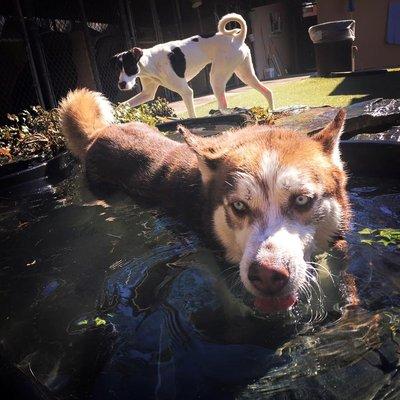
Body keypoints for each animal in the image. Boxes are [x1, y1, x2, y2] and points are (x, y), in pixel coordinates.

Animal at [114, 13, 274, 117]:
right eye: (118, 70)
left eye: (129, 68)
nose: (121, 85)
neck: (150, 62)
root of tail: (238, 38)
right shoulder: (147, 94)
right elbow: (123, 104)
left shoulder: (186, 92)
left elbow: (191, 116)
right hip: (245, 75)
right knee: (267, 92)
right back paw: (271, 111)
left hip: (216, 78)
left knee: (223, 104)